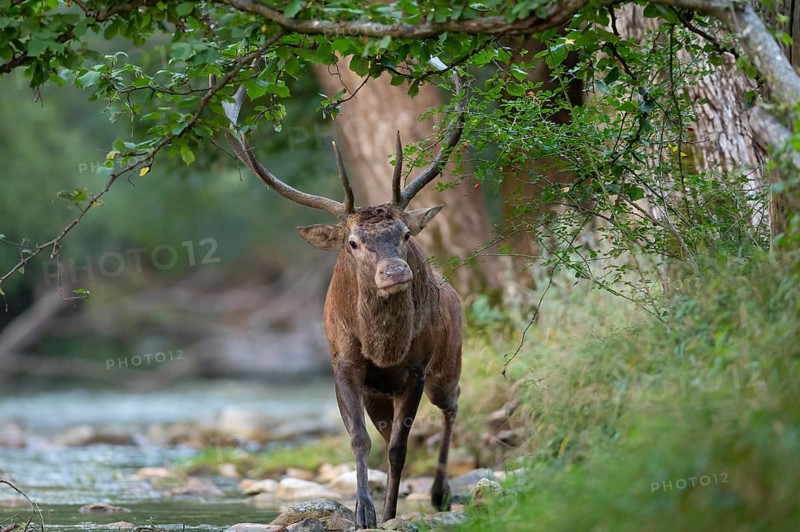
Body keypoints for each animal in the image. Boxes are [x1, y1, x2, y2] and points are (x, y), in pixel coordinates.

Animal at [216, 71, 465, 530]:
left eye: (405, 234)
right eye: (352, 242)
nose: (396, 272)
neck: (383, 348)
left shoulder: (417, 370)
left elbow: (399, 448)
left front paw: (388, 513)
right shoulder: (343, 364)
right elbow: (360, 439)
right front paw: (363, 511)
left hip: (447, 362)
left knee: (451, 408)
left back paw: (441, 492)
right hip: (377, 394)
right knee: (386, 431)